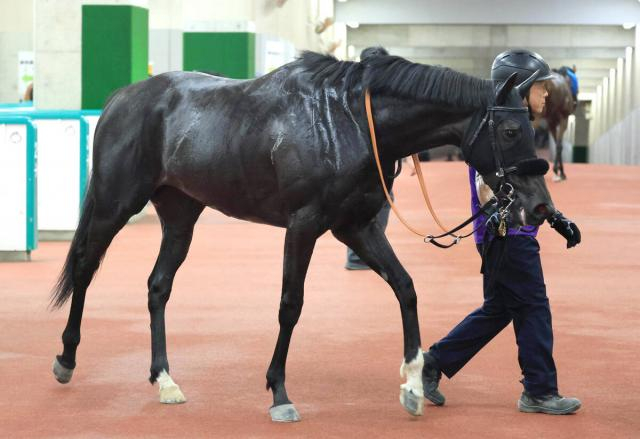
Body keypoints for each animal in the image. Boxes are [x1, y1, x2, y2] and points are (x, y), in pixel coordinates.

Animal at [50, 50, 554, 422]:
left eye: (533, 127)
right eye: (512, 129)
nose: (540, 207)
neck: (349, 120)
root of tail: (122, 97)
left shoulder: (356, 227)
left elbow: (405, 288)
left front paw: (413, 384)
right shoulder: (304, 226)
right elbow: (291, 305)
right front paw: (279, 393)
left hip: (180, 215)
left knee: (158, 286)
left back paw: (166, 380)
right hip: (116, 203)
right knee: (86, 267)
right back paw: (67, 359)